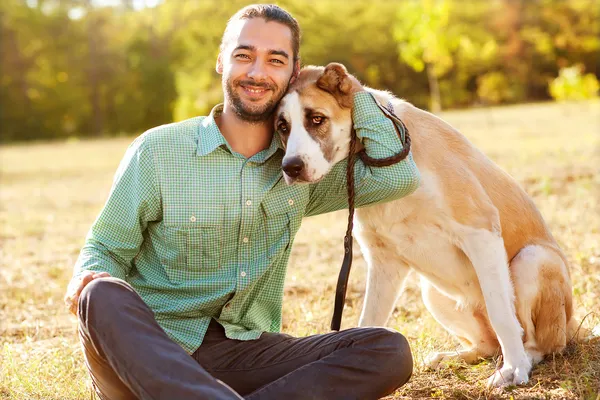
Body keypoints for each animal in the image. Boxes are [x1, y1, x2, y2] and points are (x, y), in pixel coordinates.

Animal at [276, 63, 592, 388]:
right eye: (282, 127)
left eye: (317, 119)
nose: (291, 167)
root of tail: (572, 326)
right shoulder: (385, 262)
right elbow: (368, 322)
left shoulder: (480, 231)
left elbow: (502, 313)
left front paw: (514, 368)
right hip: (432, 290)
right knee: (488, 345)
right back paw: (451, 357)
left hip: (533, 260)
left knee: (541, 342)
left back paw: (523, 359)